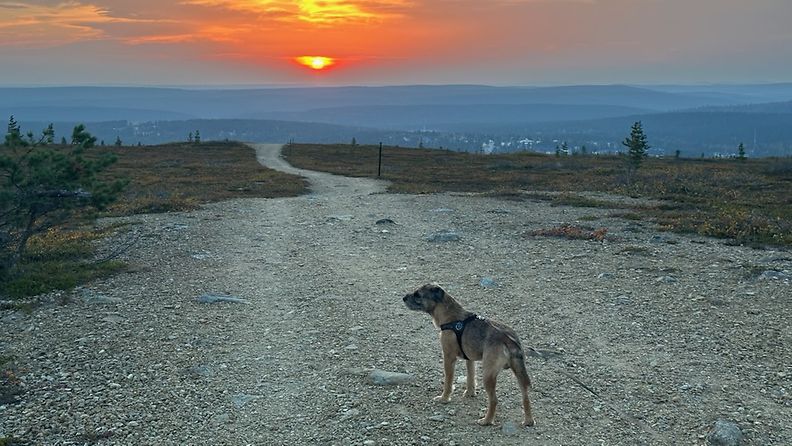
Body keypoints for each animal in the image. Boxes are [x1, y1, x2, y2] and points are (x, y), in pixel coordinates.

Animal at [402, 284, 532, 426]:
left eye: (418, 295)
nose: (403, 298)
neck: (451, 316)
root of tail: (507, 338)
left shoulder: (448, 357)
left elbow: (448, 381)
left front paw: (444, 398)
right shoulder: (470, 359)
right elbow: (470, 377)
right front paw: (470, 393)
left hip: (488, 375)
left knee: (494, 400)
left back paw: (486, 420)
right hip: (518, 372)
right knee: (525, 396)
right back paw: (529, 420)